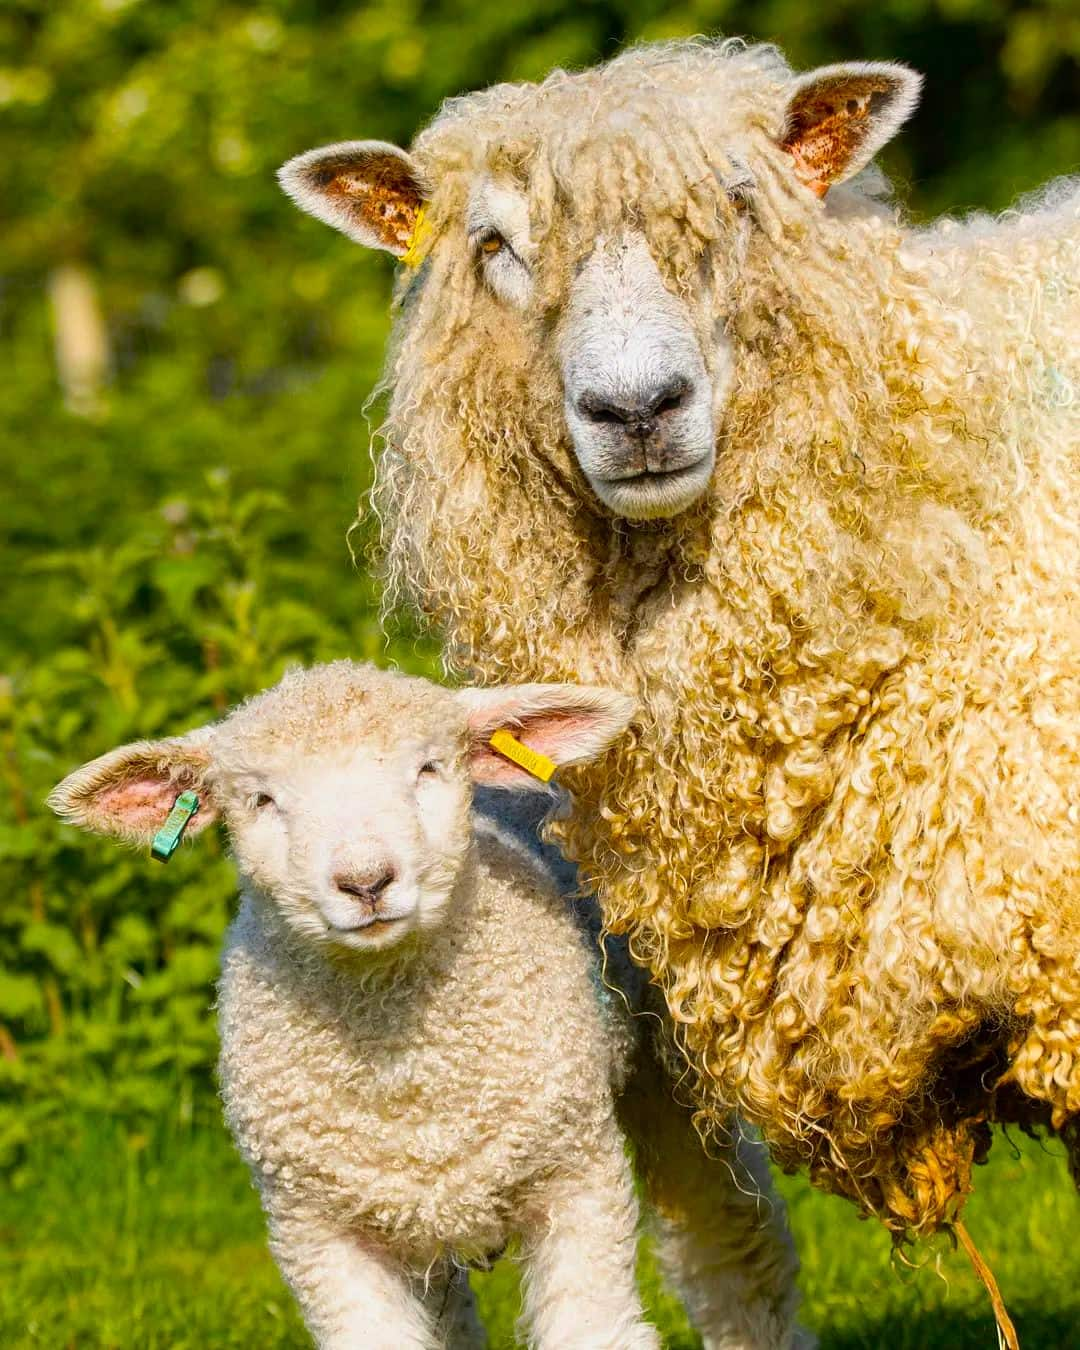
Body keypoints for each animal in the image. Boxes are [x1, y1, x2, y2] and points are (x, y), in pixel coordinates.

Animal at [52, 661, 810, 1350]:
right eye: (262, 800)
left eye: (428, 770)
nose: (365, 881)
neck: (404, 1053)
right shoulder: (317, 1226)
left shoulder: (575, 1175)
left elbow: (593, 1328)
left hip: (669, 1071)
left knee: (732, 1244)